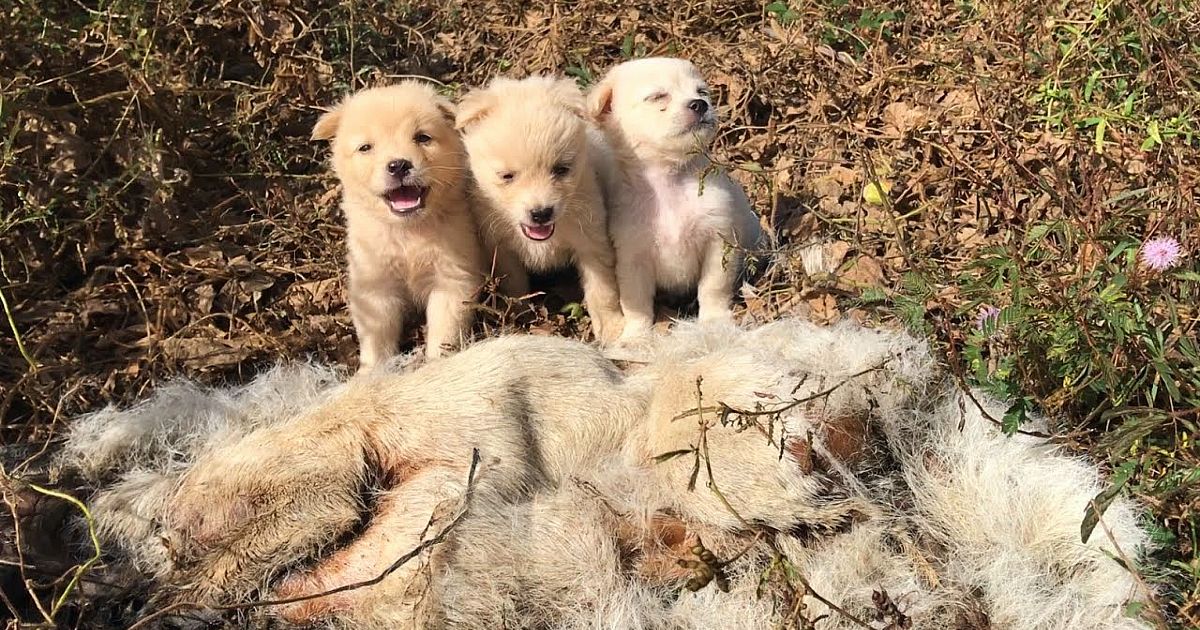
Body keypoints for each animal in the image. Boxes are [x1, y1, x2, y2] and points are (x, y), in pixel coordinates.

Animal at [456, 77, 628, 343]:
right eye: (507, 176)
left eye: (561, 169)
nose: (541, 213)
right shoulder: (502, 249)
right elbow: (515, 284)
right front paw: (520, 314)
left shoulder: (592, 243)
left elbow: (603, 291)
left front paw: (612, 327)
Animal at [585, 58, 763, 340]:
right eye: (658, 96)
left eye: (702, 92)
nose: (700, 104)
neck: (668, 181)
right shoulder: (632, 259)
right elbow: (636, 304)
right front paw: (636, 335)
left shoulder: (718, 242)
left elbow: (713, 288)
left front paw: (714, 321)